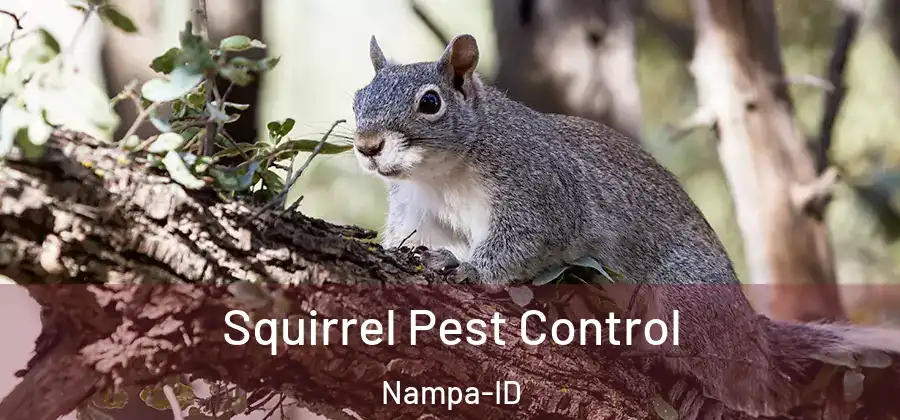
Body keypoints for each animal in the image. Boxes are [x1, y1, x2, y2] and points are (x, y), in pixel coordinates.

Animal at [351, 34, 900, 418]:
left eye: (430, 103)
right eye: (358, 97)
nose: (366, 145)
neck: (442, 173)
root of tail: (750, 330)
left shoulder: (543, 190)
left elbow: (524, 241)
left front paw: (468, 269)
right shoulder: (418, 211)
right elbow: (410, 238)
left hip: (687, 298)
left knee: (744, 382)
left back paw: (704, 392)